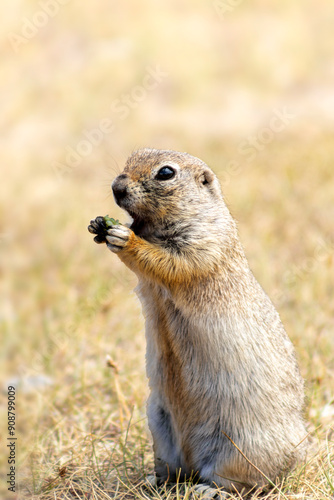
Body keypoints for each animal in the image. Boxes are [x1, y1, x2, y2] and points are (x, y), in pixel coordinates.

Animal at [87, 146, 310, 494]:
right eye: (133, 156)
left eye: (166, 173)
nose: (117, 187)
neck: (154, 226)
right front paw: (99, 224)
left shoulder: (203, 243)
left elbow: (169, 262)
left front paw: (122, 236)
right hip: (159, 425)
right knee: (176, 470)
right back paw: (154, 481)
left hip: (243, 447)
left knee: (247, 483)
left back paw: (209, 490)